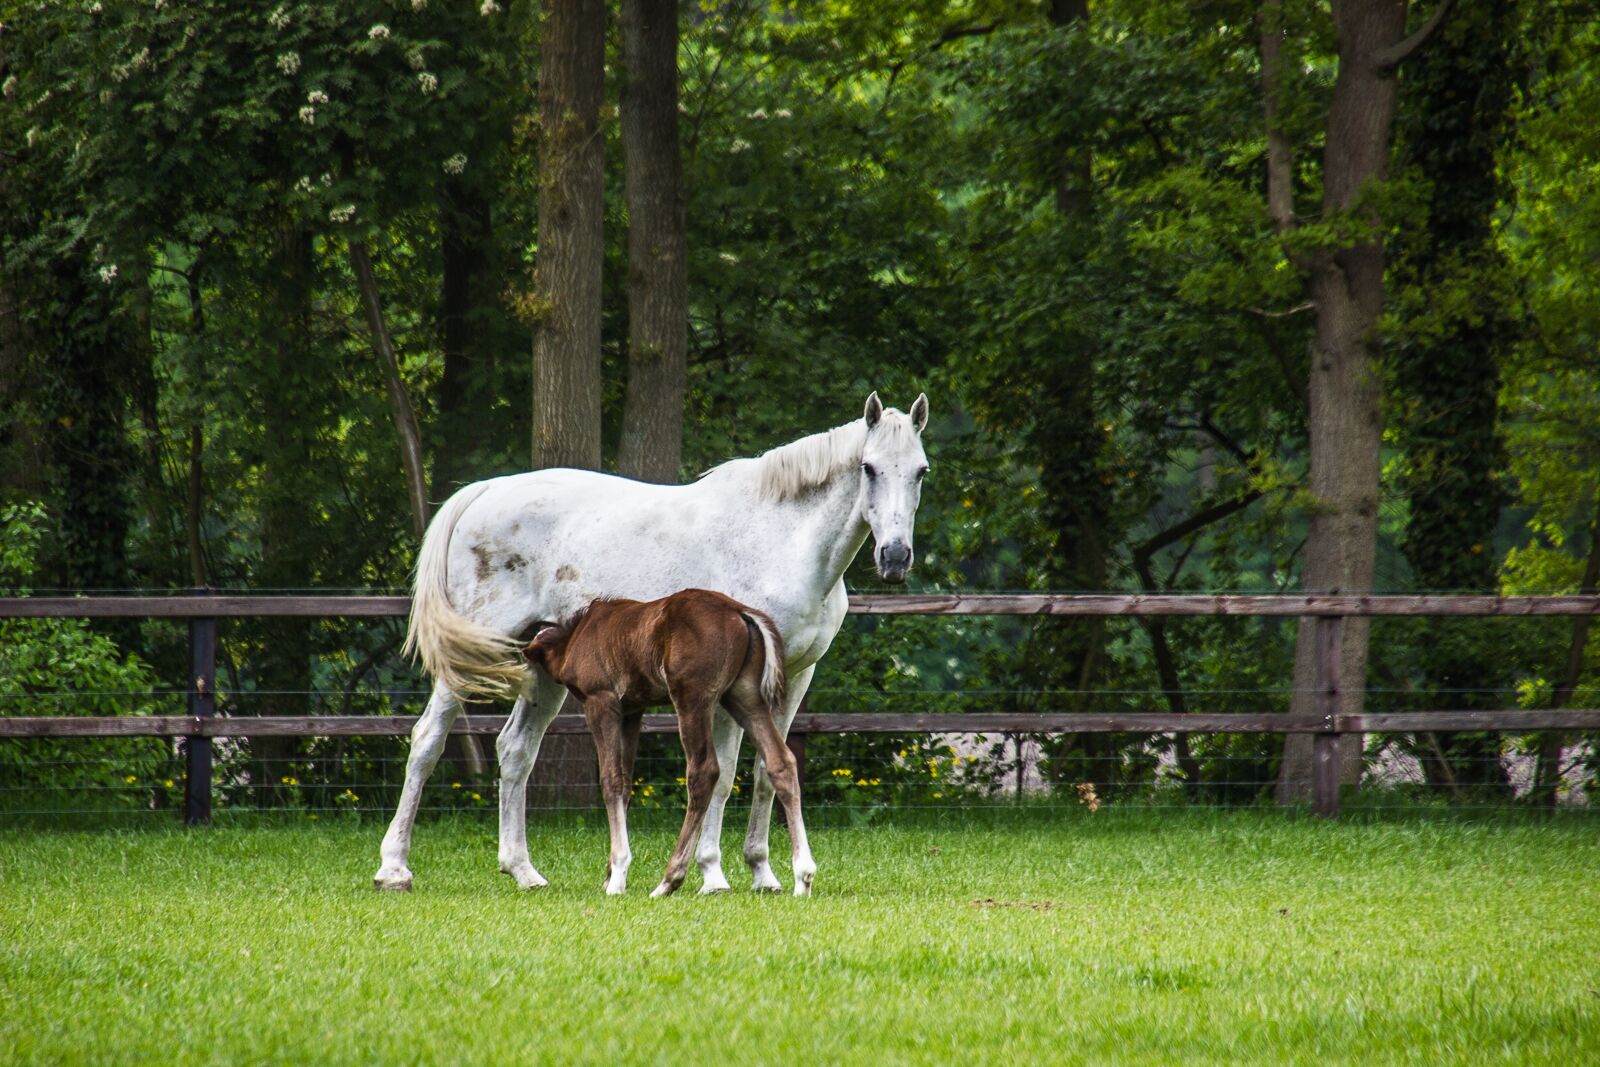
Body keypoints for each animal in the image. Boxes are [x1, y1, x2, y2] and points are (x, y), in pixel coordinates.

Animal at [522, 590, 814, 898]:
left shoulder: (601, 702)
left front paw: (617, 876)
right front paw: (612, 874)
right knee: (780, 761)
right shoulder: (632, 711)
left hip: (693, 697)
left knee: (703, 771)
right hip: (744, 696)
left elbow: (611, 780)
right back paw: (803, 876)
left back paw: (669, 879)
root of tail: (739, 611)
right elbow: (625, 783)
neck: (575, 636)